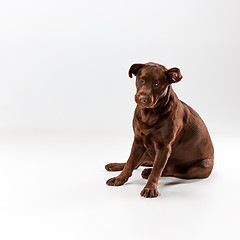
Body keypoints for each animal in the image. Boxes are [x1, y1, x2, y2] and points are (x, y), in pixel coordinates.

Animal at [105, 62, 214, 199]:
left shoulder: (164, 147)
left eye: (157, 84)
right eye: (142, 80)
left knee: (169, 169)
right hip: (146, 150)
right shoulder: (138, 142)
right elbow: (130, 162)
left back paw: (147, 172)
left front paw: (150, 188)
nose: (142, 98)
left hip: (203, 165)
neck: (149, 114)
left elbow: (157, 170)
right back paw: (116, 166)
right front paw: (119, 178)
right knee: (139, 162)